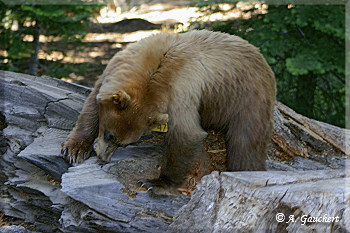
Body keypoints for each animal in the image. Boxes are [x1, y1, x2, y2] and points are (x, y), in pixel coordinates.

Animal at [62, 30, 276, 195]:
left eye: (122, 142)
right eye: (109, 134)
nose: (102, 157)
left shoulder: (181, 90)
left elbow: (186, 134)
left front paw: (156, 183)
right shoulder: (117, 65)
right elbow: (92, 103)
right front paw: (74, 149)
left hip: (247, 98)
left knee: (245, 142)